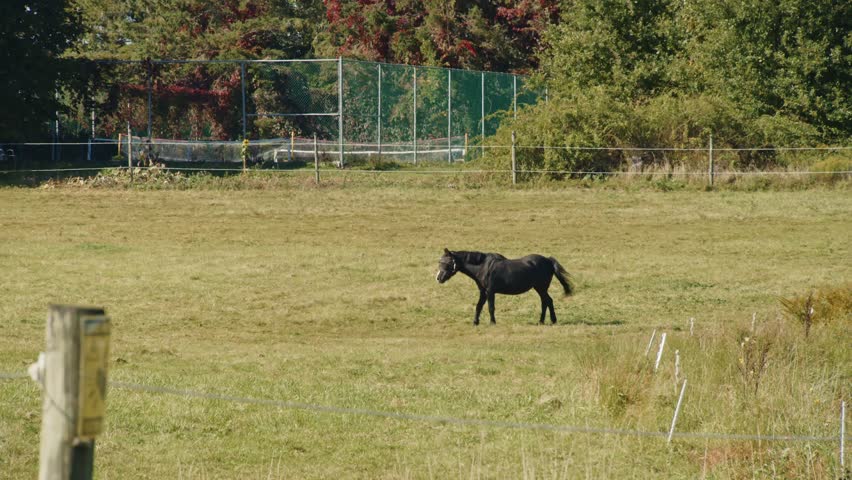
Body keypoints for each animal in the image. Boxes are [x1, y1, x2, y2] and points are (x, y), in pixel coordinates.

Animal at [435, 248, 574, 325]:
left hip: (541, 288)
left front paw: (492, 322)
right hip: (539, 288)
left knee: (548, 301)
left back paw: (551, 320)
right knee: (545, 302)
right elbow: (479, 306)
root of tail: (548, 260)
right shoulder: (483, 292)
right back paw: (542, 321)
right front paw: (475, 322)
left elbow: (491, 307)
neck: (483, 267)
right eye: (440, 261)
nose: (438, 278)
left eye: (446, 262)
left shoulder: (490, 292)